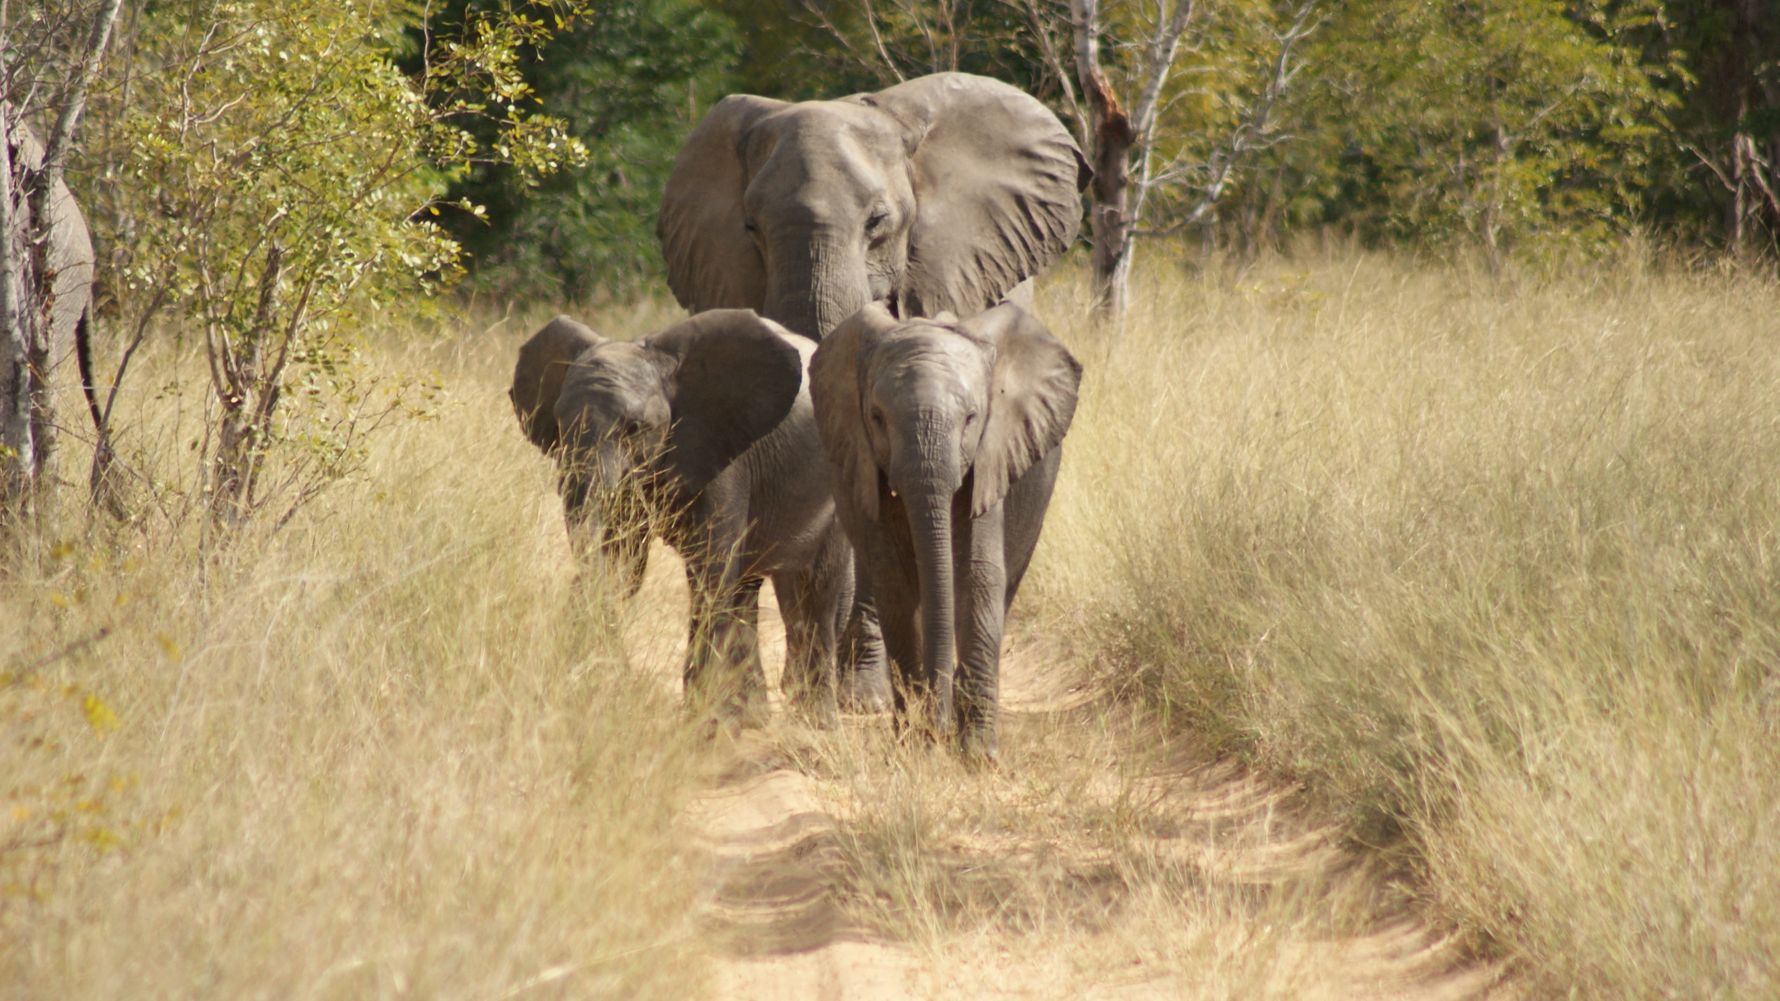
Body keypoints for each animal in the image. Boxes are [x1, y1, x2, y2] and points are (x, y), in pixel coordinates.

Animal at [511, 309, 853, 725]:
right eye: (560, 424)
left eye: (634, 428)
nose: (618, 677)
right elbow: (622, 562)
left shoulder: (724, 453)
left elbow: (708, 570)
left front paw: (703, 722)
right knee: (745, 587)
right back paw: (752, 717)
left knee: (815, 587)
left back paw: (814, 720)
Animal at [809, 302, 1081, 761]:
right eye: (876, 418)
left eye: (971, 419)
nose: (936, 730)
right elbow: (896, 586)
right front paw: (914, 746)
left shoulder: (990, 456)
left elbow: (976, 575)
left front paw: (977, 756)